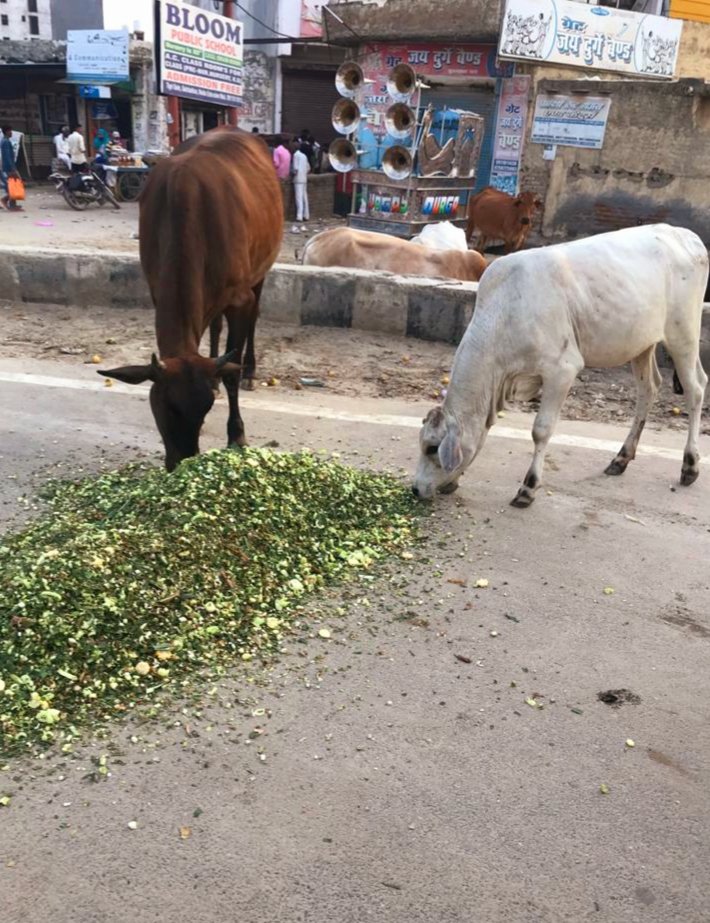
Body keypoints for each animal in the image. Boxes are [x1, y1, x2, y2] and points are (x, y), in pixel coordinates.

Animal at [100, 128, 284, 470]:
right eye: (166, 406)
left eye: (205, 409)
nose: (181, 461)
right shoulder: (155, 287)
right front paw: (216, 373)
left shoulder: (240, 298)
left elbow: (233, 370)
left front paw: (237, 434)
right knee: (214, 324)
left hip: (261, 269)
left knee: (254, 318)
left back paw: (249, 370)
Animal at [414, 225, 708, 506]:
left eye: (432, 448)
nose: (416, 489)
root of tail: (686, 235)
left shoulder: (562, 370)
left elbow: (541, 430)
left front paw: (528, 488)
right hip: (641, 344)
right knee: (649, 390)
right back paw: (621, 458)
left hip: (683, 333)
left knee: (695, 388)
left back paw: (690, 465)